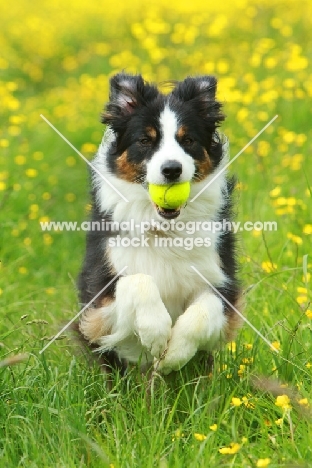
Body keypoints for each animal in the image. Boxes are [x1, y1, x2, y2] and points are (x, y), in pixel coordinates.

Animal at [77, 71, 243, 374]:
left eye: (188, 140)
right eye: (145, 140)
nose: (172, 169)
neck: (165, 228)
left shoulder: (222, 281)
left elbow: (205, 310)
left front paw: (174, 353)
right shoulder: (100, 298)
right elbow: (137, 280)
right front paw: (156, 333)